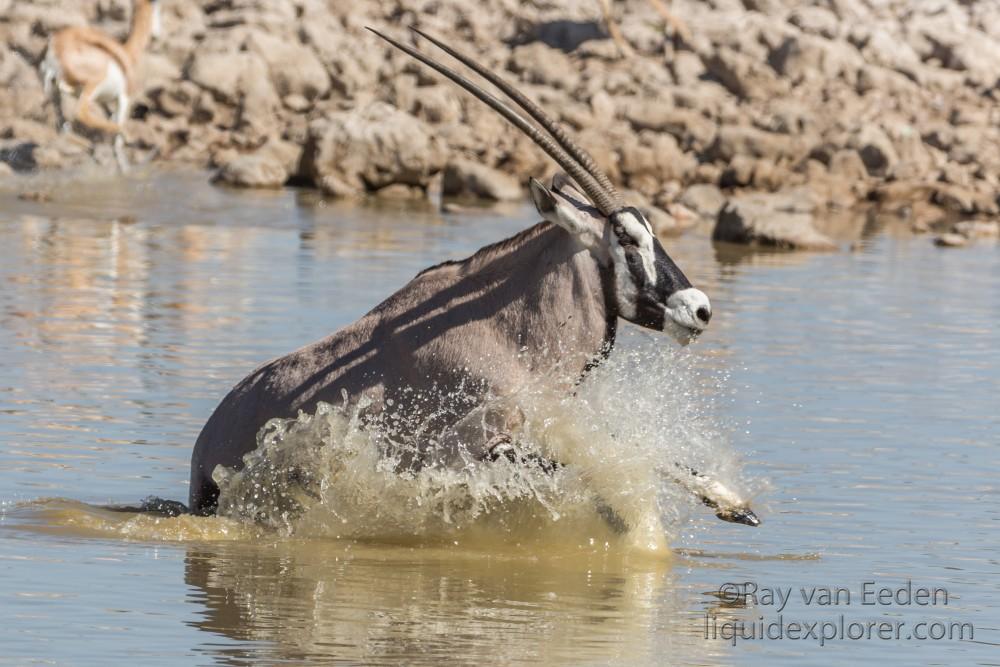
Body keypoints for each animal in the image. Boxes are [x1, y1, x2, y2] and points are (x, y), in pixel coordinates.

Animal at [41, 0, 161, 171]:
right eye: (157, 6)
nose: (158, 34)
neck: (128, 54)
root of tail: (56, 47)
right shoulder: (125, 98)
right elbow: (118, 140)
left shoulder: (107, 102)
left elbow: (111, 122)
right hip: (92, 85)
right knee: (81, 112)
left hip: (55, 94)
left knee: (63, 127)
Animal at [184, 27, 756, 544]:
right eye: (625, 236)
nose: (699, 309)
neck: (505, 331)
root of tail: (205, 443)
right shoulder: (469, 446)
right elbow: (583, 470)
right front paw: (628, 523)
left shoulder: (552, 420)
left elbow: (633, 451)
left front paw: (733, 503)